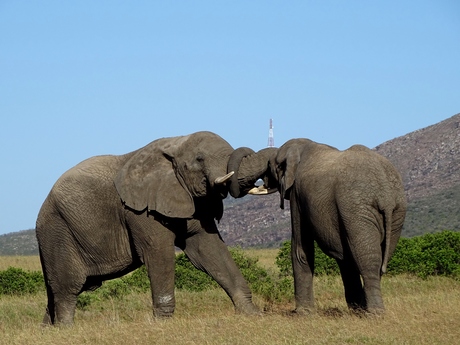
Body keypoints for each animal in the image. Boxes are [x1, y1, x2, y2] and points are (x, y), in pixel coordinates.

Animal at [35, 130, 258, 324]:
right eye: (199, 159)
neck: (176, 143)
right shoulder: (140, 210)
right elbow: (158, 254)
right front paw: (163, 323)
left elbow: (210, 251)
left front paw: (252, 314)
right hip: (57, 232)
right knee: (67, 288)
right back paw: (66, 329)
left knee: (54, 291)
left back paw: (49, 329)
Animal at [237, 138, 406, 314]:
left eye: (273, 166)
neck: (301, 148)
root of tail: (385, 195)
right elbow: (345, 257)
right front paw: (355, 309)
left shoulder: (297, 192)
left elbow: (300, 248)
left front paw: (303, 313)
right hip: (396, 212)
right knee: (375, 258)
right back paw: (363, 311)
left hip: (357, 208)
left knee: (368, 259)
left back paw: (375, 314)